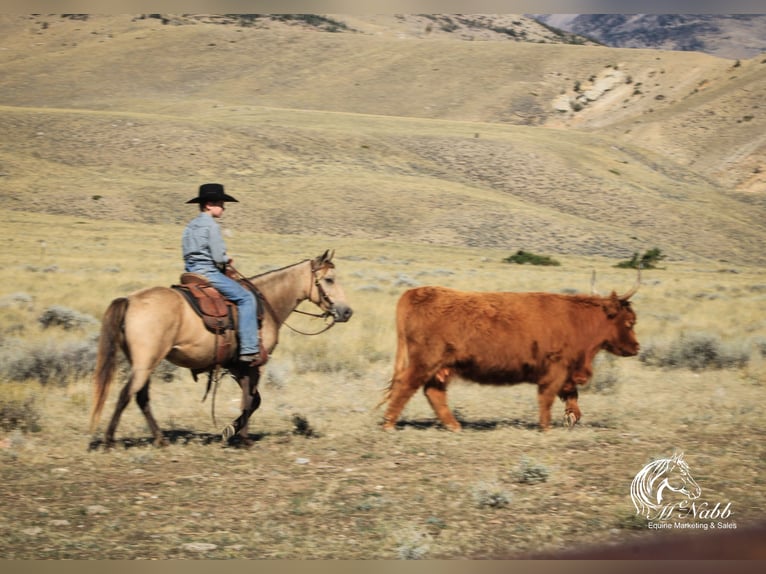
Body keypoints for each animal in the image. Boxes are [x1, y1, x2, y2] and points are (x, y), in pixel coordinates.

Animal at [90, 250, 354, 448]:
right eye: (329, 279)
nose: (346, 311)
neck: (267, 302)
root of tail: (129, 300)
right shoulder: (254, 363)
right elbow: (251, 400)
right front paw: (241, 436)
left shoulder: (237, 366)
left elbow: (252, 399)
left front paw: (232, 432)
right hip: (146, 362)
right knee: (126, 395)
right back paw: (109, 441)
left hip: (144, 363)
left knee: (141, 397)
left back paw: (160, 439)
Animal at [380, 276, 640, 432]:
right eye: (629, 322)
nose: (636, 347)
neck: (577, 319)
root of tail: (415, 292)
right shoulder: (556, 369)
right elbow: (547, 397)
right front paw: (546, 427)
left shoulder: (566, 373)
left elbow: (571, 395)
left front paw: (571, 417)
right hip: (424, 362)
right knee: (406, 385)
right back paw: (389, 424)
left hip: (441, 367)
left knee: (434, 392)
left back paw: (454, 426)